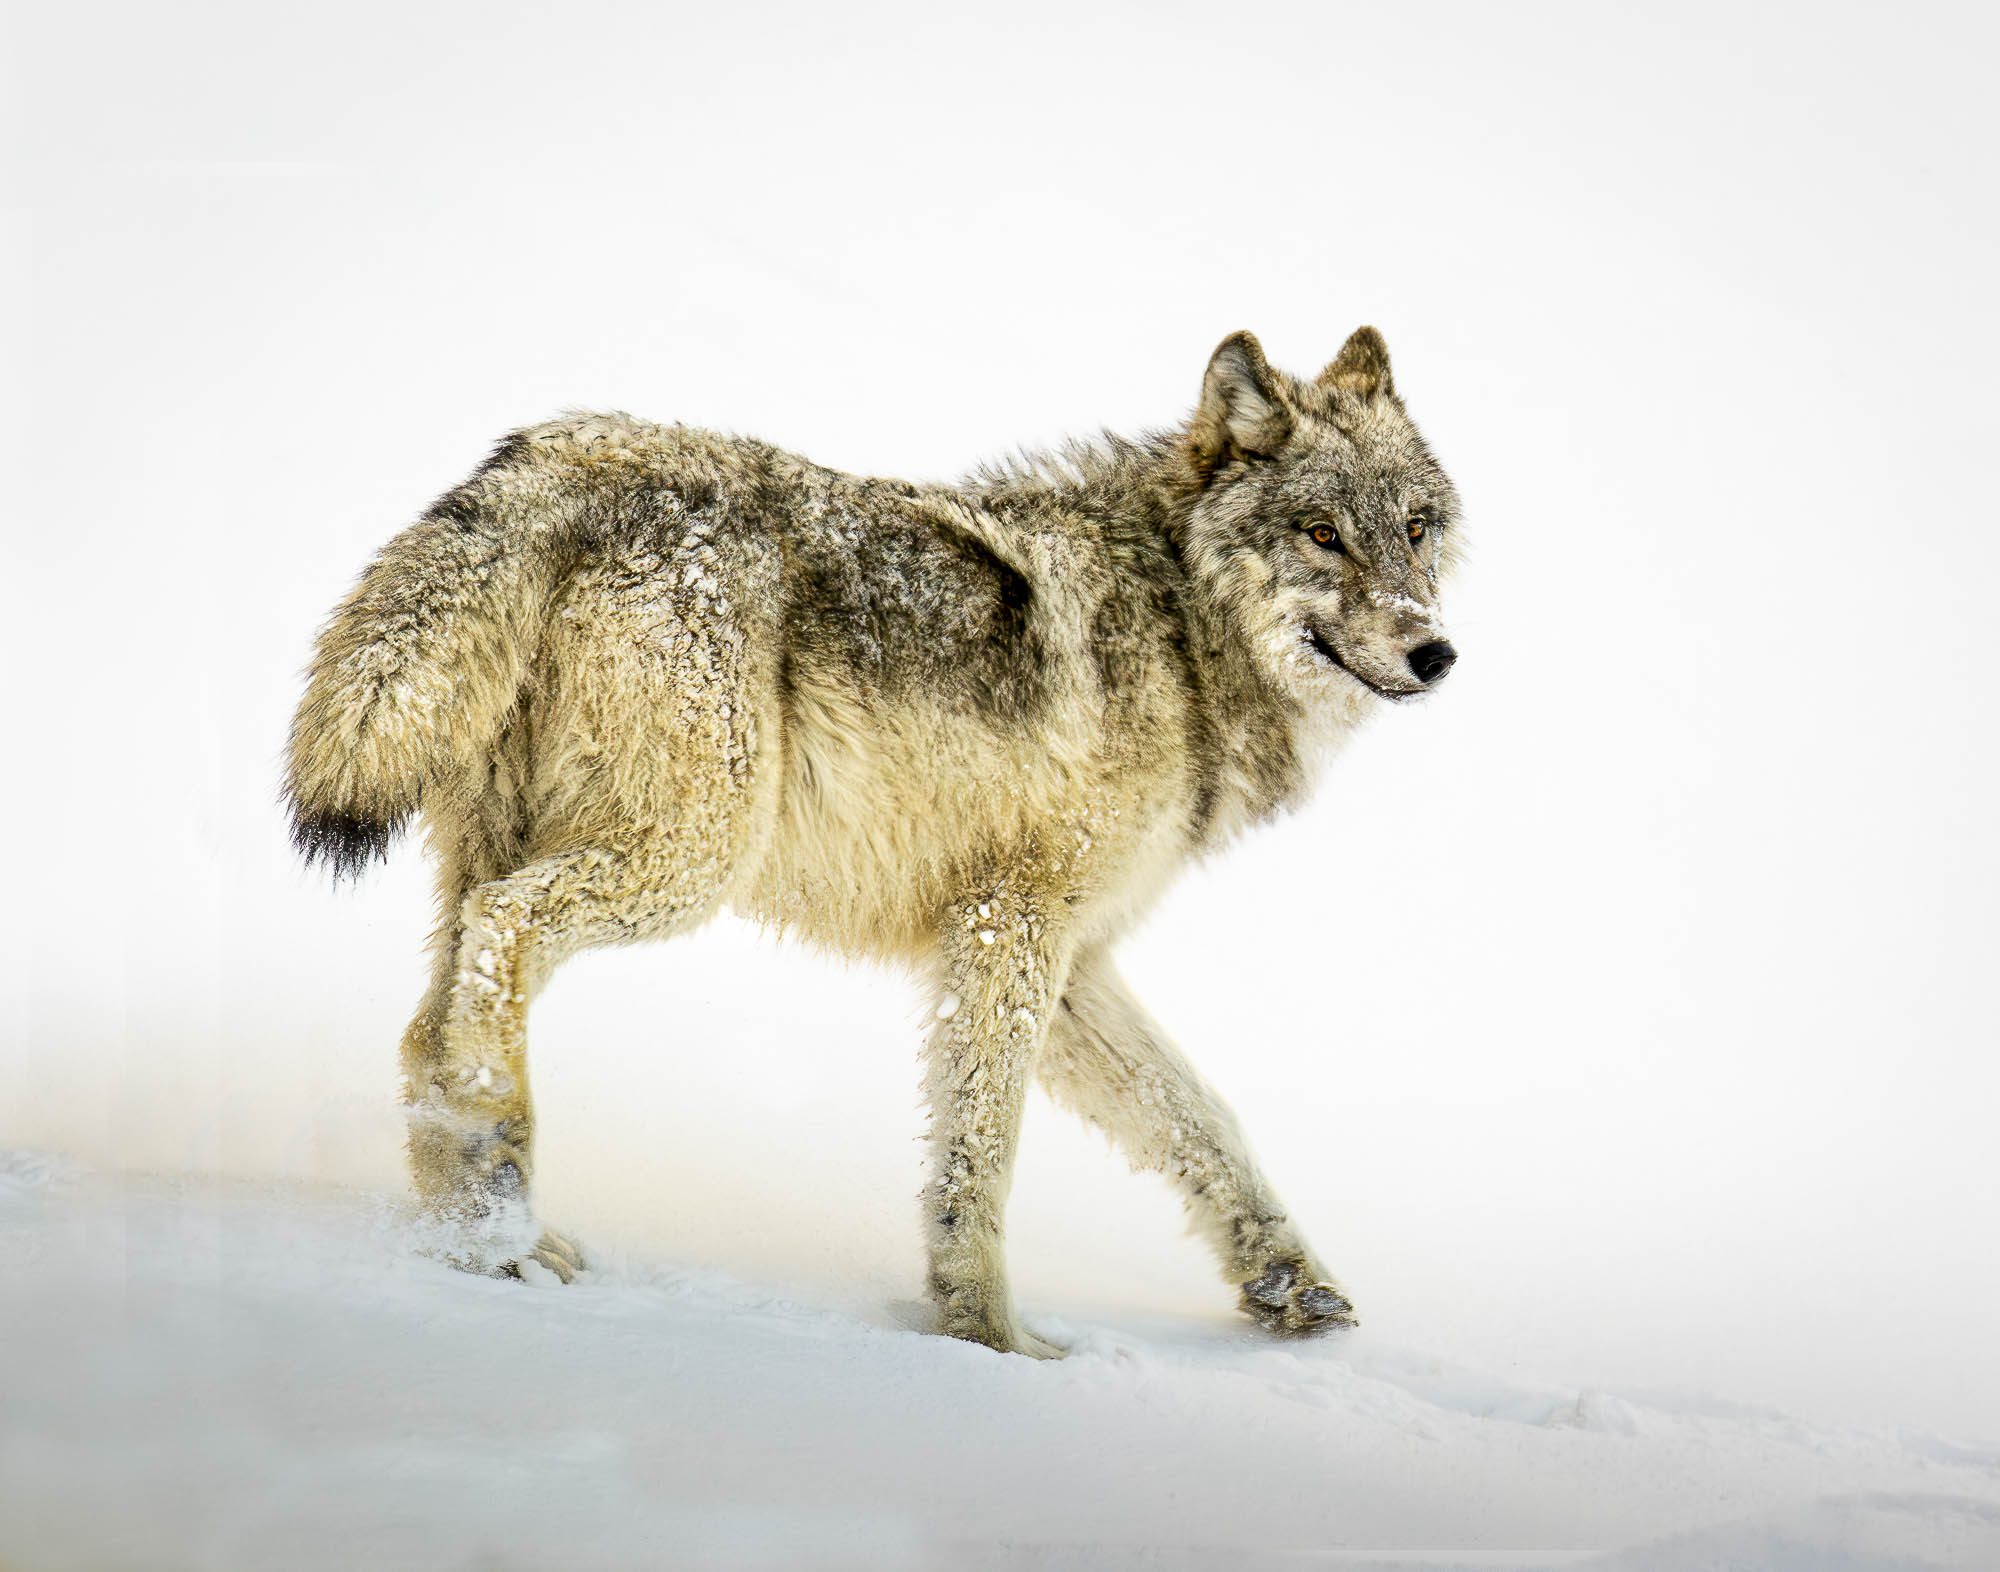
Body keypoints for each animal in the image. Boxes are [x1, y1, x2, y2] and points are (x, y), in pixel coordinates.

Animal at [285, 327, 1462, 1356]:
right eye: (1321, 532)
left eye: (1413, 528)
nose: (1435, 652)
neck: (1178, 625)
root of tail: (555, 457)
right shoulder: (1008, 928)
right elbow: (980, 1155)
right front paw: (991, 1337)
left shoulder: (1074, 961)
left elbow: (1202, 1119)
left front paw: (1291, 1284)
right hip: (687, 864)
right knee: (504, 931)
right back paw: (497, 1205)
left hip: (536, 854)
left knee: (424, 1030)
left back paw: (486, 1237)